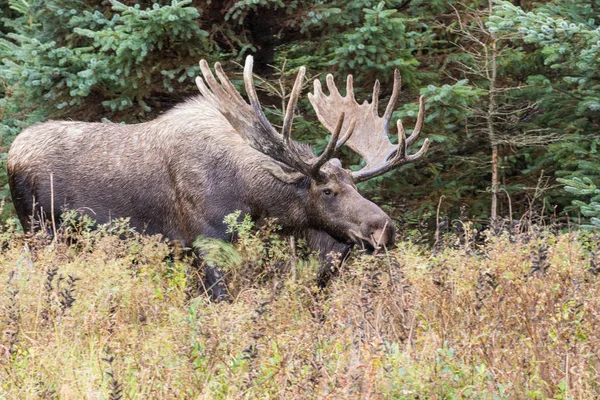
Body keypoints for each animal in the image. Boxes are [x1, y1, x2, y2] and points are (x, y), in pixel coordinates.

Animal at [7, 55, 428, 300]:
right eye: (326, 190)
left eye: (356, 185)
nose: (384, 229)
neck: (253, 199)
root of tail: (12, 152)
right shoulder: (205, 242)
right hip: (41, 233)